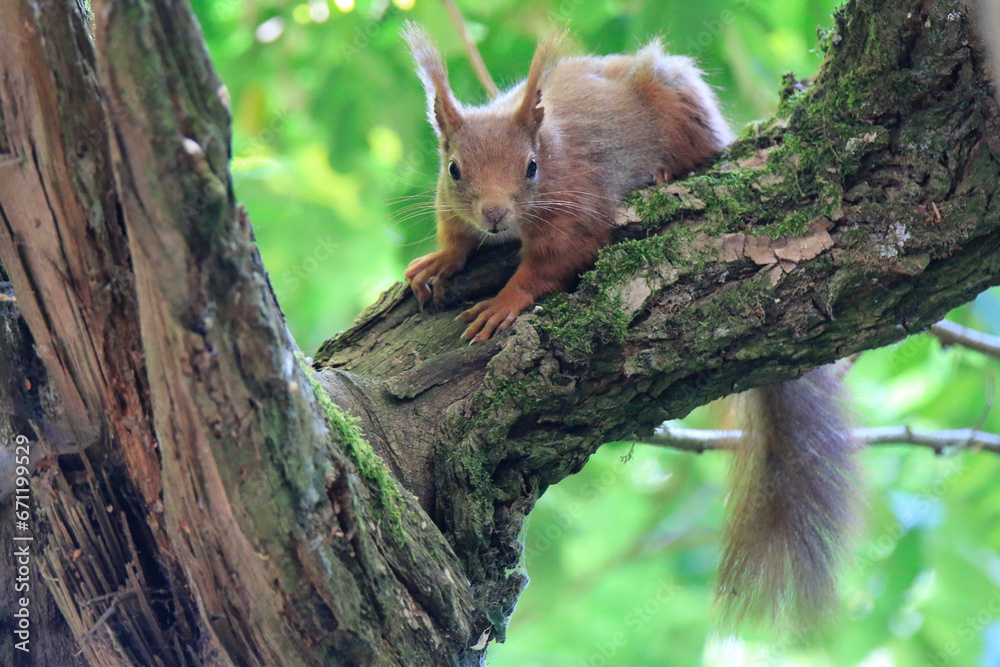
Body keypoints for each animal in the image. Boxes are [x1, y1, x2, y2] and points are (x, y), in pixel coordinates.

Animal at [402, 24, 861, 629]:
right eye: (454, 168)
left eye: (531, 167)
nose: (495, 214)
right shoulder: (449, 203)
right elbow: (455, 237)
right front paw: (438, 263)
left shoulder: (577, 203)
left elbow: (553, 262)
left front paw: (504, 301)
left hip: (679, 101)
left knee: (703, 151)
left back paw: (669, 169)